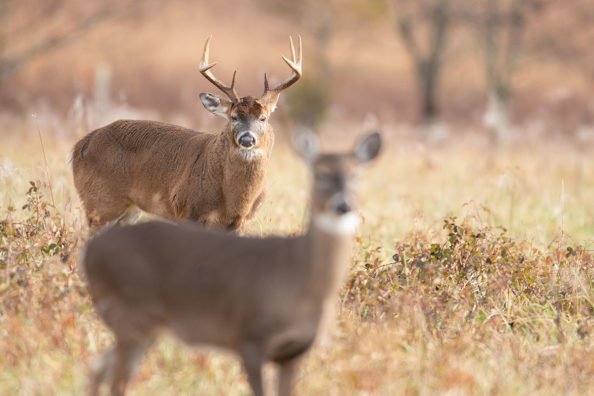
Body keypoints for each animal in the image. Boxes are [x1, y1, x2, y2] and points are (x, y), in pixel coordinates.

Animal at [71, 36, 300, 234]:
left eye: (263, 118)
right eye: (233, 117)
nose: (247, 139)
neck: (233, 201)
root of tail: (80, 146)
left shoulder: (240, 222)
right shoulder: (186, 207)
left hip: (127, 211)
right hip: (100, 203)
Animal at [82, 129, 380, 392]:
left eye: (357, 174)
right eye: (320, 174)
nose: (342, 205)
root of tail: (89, 253)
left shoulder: (292, 353)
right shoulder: (249, 338)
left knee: (97, 367)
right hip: (131, 315)